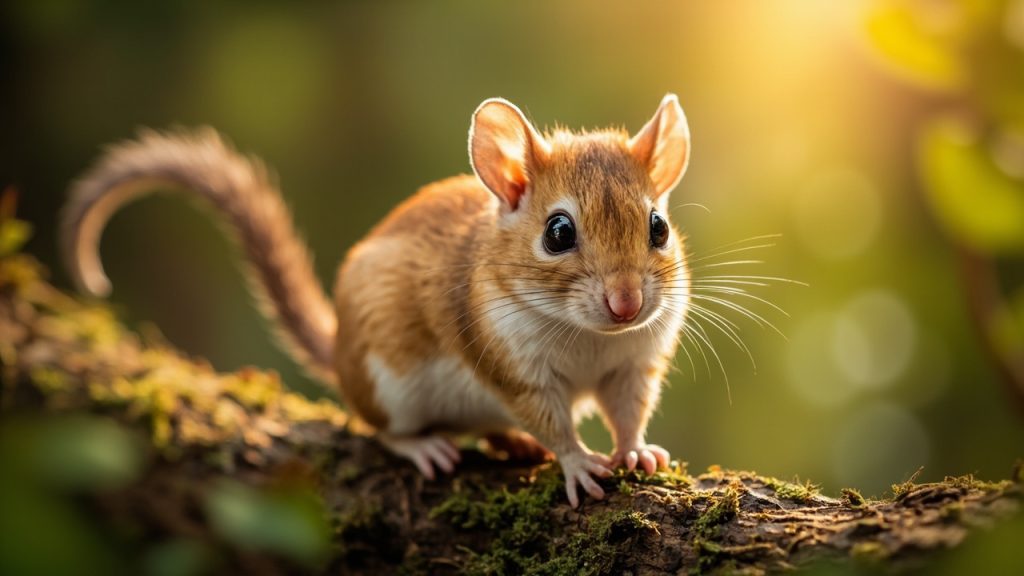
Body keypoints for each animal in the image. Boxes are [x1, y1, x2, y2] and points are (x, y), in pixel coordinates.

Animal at [62, 94, 691, 508]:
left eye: (658, 226)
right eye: (558, 233)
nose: (626, 304)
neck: (589, 336)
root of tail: (339, 350)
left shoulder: (634, 364)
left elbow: (629, 413)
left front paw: (638, 453)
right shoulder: (513, 369)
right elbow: (553, 423)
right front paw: (579, 463)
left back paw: (510, 443)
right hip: (388, 386)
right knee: (381, 429)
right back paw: (426, 447)